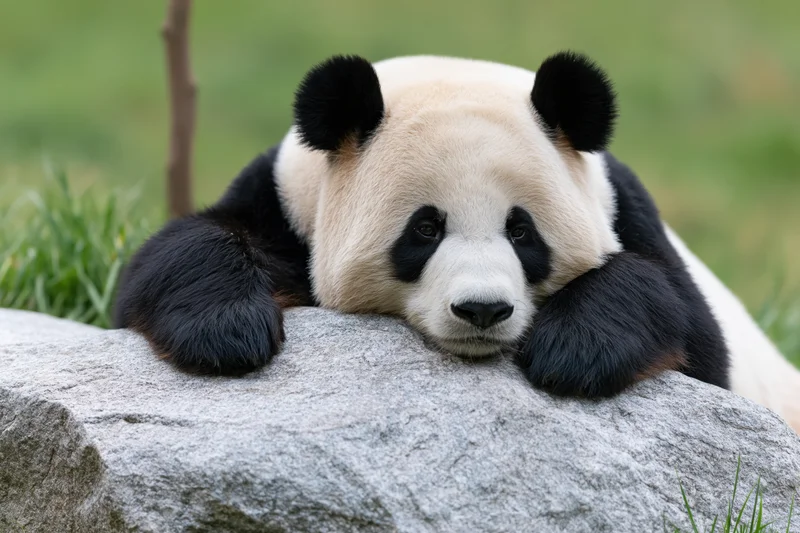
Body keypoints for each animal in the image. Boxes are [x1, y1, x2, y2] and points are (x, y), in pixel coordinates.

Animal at [114, 52, 800, 432]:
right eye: (425, 229)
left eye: (522, 231)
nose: (482, 310)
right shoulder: (286, 199)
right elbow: (176, 253)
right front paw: (226, 330)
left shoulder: (622, 208)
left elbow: (689, 328)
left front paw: (576, 349)